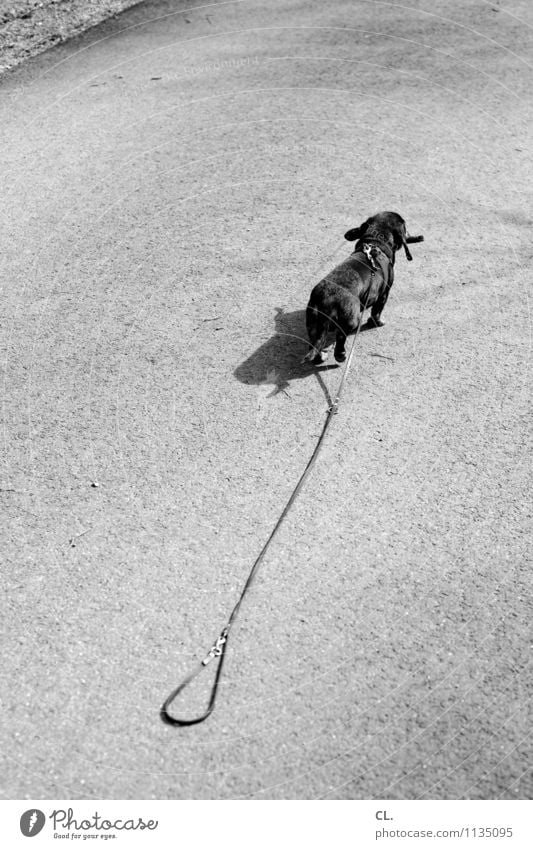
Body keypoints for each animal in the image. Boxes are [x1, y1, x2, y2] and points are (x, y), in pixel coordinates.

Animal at [304, 210, 424, 362]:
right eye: (405, 225)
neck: (375, 242)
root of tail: (328, 299)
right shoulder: (384, 294)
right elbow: (377, 312)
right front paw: (377, 322)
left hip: (313, 324)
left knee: (313, 343)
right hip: (351, 321)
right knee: (340, 339)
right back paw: (341, 355)